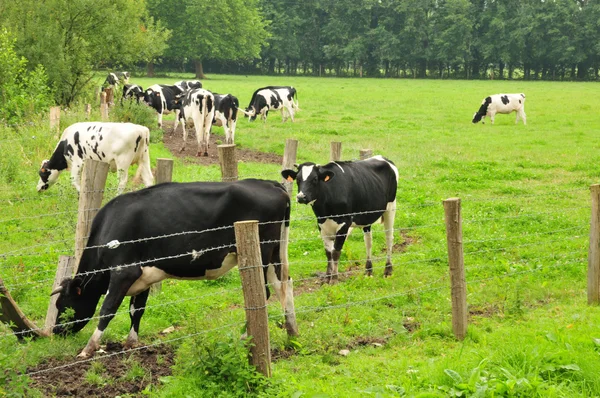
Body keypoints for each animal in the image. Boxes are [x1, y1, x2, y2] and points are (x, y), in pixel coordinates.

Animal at [49, 179, 298, 360]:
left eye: (63, 305)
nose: (55, 332)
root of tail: (269, 184)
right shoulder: (143, 276)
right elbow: (136, 310)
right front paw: (131, 342)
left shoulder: (124, 271)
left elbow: (107, 309)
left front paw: (88, 348)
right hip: (274, 254)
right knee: (283, 286)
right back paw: (291, 334)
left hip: (262, 251)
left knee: (265, 293)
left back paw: (246, 336)